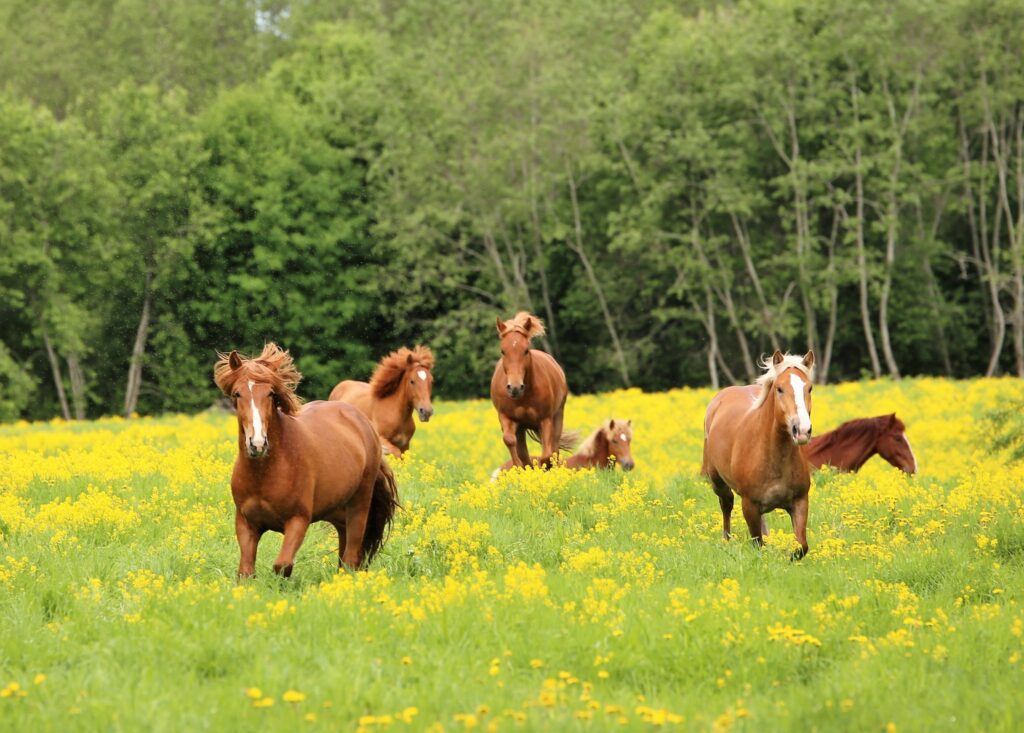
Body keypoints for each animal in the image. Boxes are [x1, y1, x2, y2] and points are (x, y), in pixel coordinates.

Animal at [215, 343, 399, 577]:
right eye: (237, 394)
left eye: (270, 393)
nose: (257, 444)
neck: (265, 471)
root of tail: (363, 423)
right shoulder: (246, 524)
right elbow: (246, 572)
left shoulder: (298, 520)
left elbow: (282, 565)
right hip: (337, 509)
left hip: (359, 504)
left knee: (351, 554)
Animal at [489, 311, 577, 466]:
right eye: (502, 351)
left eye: (525, 350)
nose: (515, 387)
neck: (524, 396)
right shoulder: (506, 418)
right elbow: (510, 441)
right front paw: (519, 467)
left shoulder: (545, 420)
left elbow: (547, 454)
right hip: (521, 428)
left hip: (558, 416)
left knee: (554, 447)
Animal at [700, 352, 811, 556]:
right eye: (779, 389)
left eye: (810, 388)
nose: (801, 430)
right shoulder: (749, 505)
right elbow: (757, 543)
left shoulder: (800, 502)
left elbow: (801, 546)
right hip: (717, 481)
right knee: (726, 504)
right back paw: (726, 539)